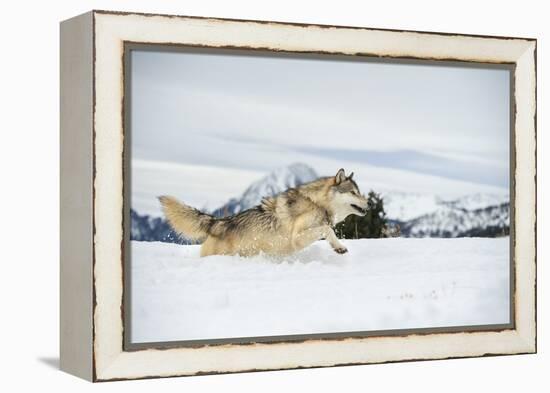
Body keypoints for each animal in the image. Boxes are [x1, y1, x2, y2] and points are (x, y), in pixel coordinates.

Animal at [160, 168, 370, 258]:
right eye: (353, 192)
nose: (368, 203)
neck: (317, 203)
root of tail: (218, 222)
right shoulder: (297, 237)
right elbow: (327, 229)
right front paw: (339, 247)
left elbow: (327, 230)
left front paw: (338, 247)